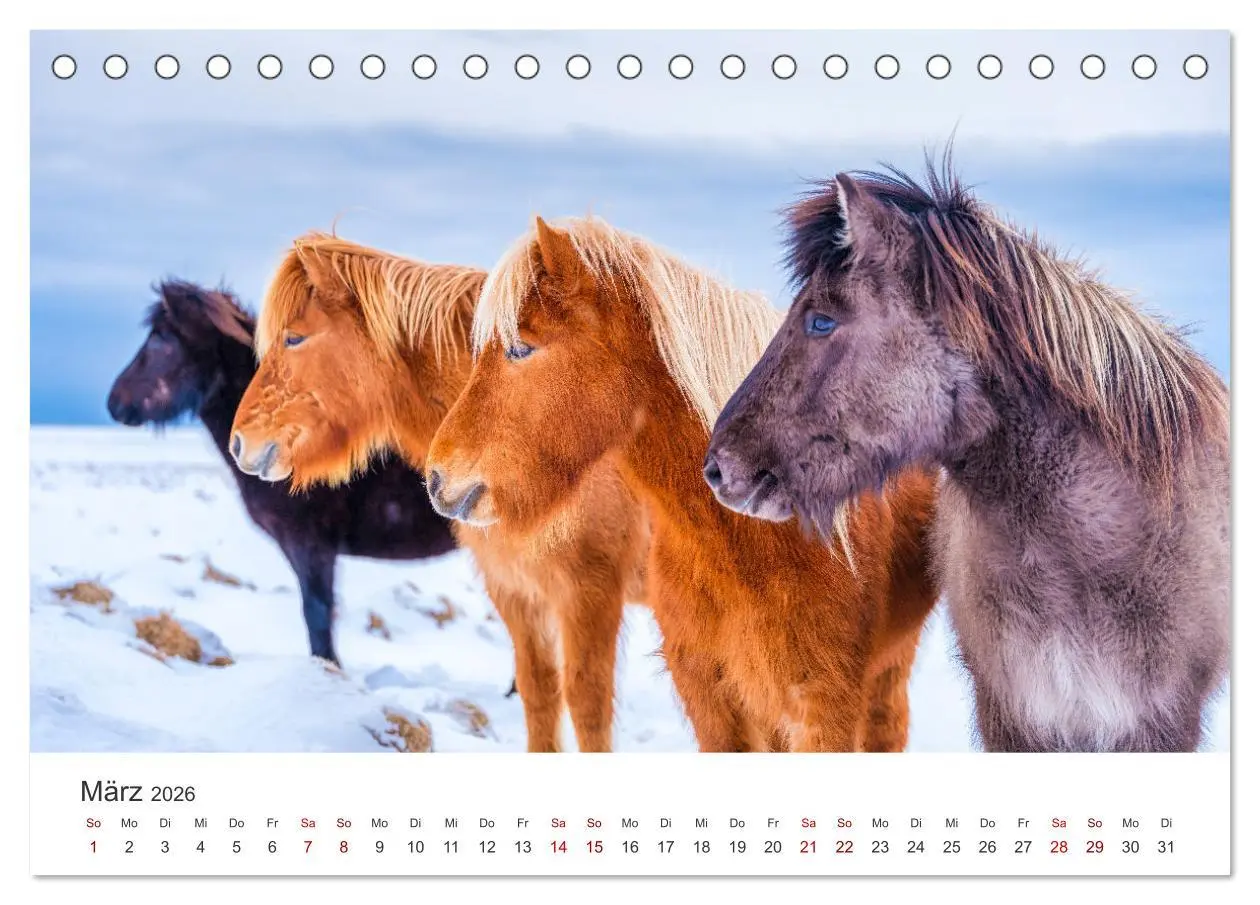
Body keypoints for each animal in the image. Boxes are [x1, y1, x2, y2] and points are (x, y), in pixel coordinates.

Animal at [228, 234, 648, 752]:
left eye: (294, 337)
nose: (241, 442)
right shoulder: (516, 591)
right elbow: (539, 693)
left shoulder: (590, 593)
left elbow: (588, 707)